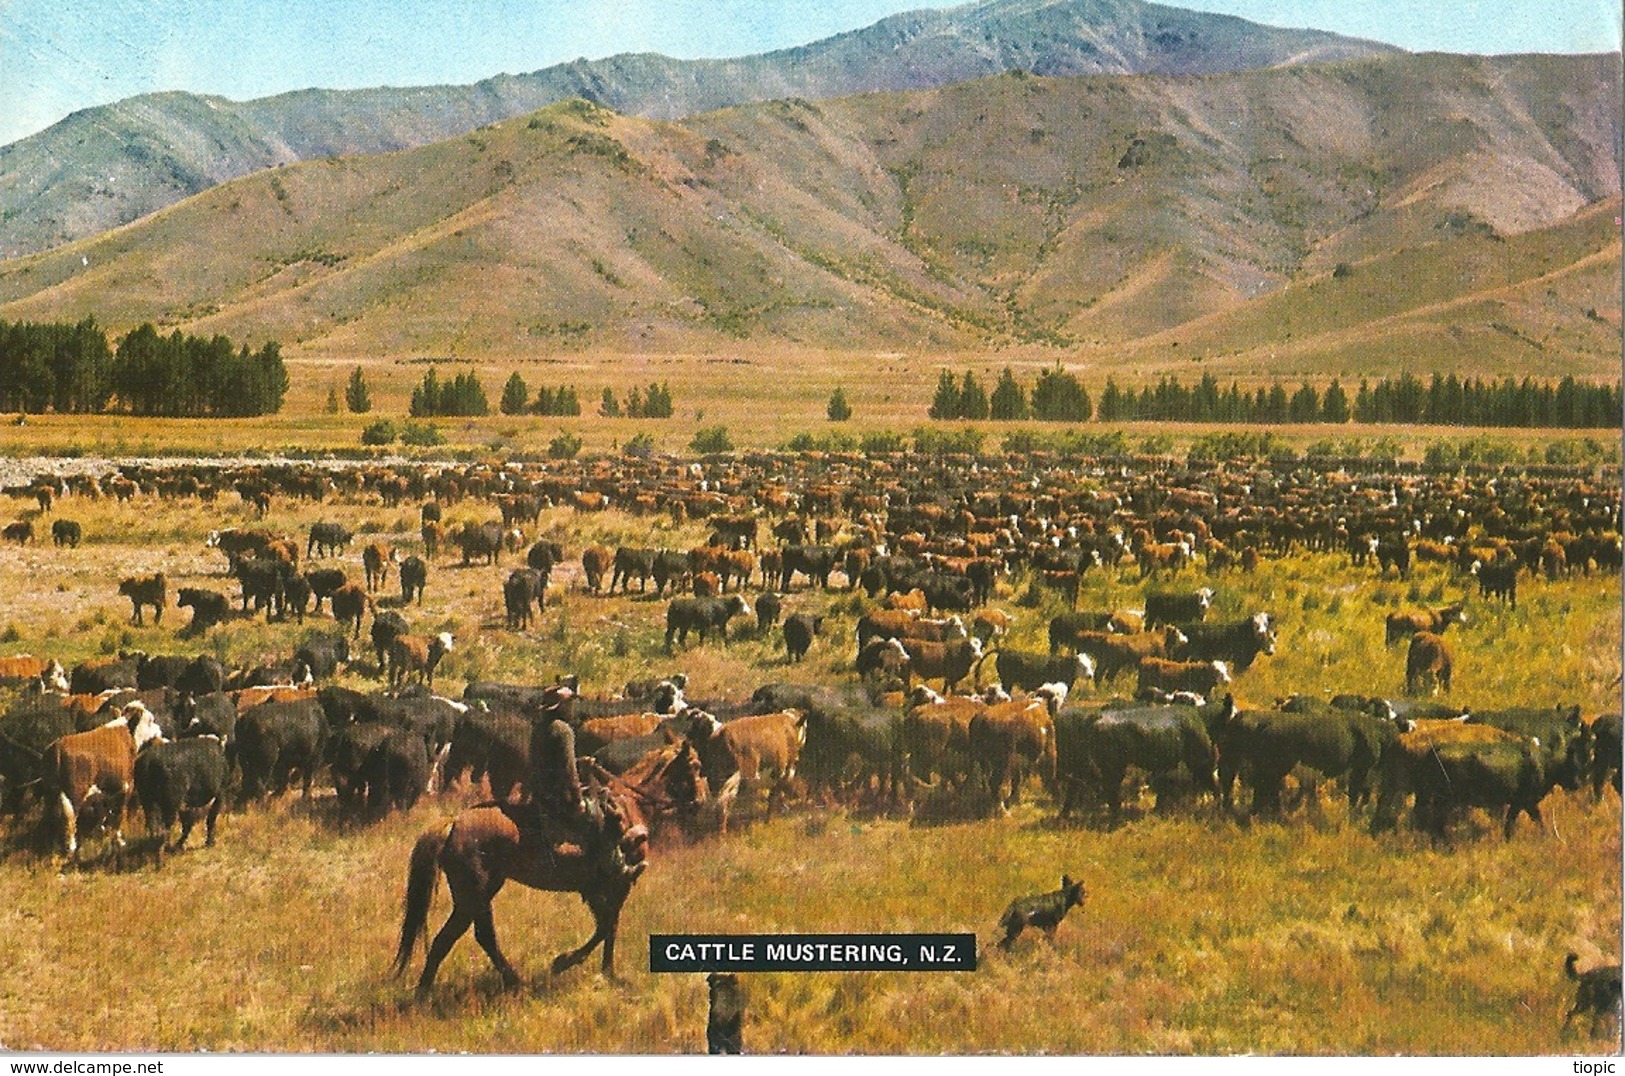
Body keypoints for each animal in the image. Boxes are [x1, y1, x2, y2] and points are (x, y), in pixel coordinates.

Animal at [393, 737, 705, 1001]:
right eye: (696, 766)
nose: (700, 802)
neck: (631, 805)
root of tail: (453, 824)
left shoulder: (599, 890)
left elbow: (608, 926)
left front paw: (606, 972)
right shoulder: (616, 884)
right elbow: (607, 926)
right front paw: (569, 963)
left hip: (482, 894)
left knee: (480, 936)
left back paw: (510, 982)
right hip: (473, 897)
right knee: (450, 939)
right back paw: (426, 995)